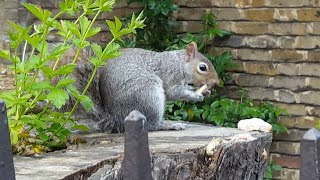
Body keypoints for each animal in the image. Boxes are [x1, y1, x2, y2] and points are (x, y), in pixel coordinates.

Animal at [60, 41, 220, 133]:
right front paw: (196, 95)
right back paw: (170, 125)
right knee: (151, 125)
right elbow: (174, 93)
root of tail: (115, 119)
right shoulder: (170, 76)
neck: (179, 64)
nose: (216, 82)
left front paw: (206, 92)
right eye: (202, 67)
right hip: (148, 96)